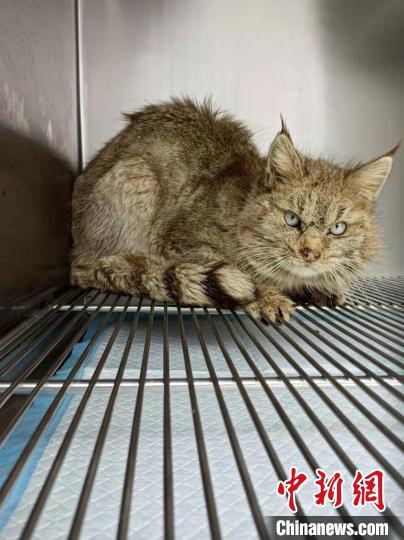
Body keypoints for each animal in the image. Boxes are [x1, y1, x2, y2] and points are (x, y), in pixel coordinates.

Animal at [71, 97, 398, 322]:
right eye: (292, 219)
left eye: (337, 229)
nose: (310, 254)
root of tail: (77, 256)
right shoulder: (179, 242)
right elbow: (239, 273)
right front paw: (264, 296)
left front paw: (325, 285)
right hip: (137, 176)